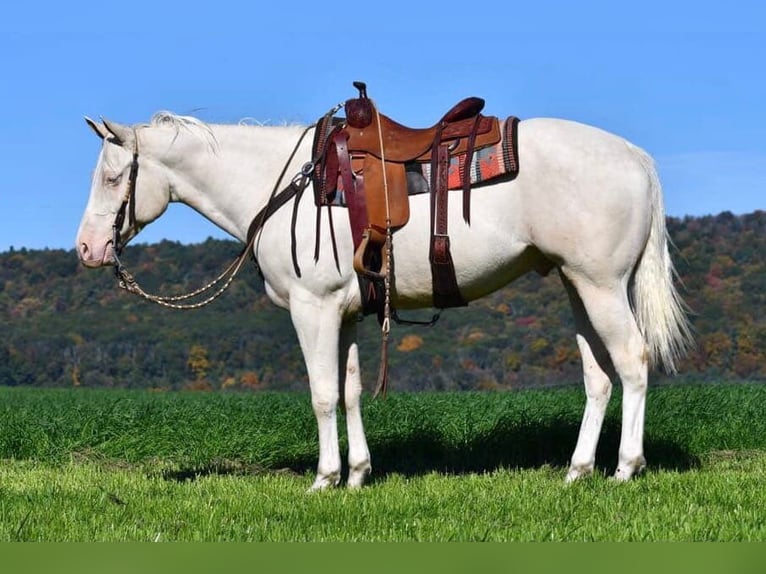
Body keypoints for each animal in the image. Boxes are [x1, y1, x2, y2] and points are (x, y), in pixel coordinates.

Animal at [78, 106, 696, 488]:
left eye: (112, 178)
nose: (88, 248)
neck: (285, 185)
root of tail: (636, 157)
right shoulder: (347, 314)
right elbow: (350, 393)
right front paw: (357, 474)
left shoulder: (313, 309)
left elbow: (322, 395)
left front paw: (325, 479)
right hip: (577, 285)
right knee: (599, 376)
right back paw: (577, 470)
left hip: (601, 285)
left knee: (633, 362)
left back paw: (626, 467)